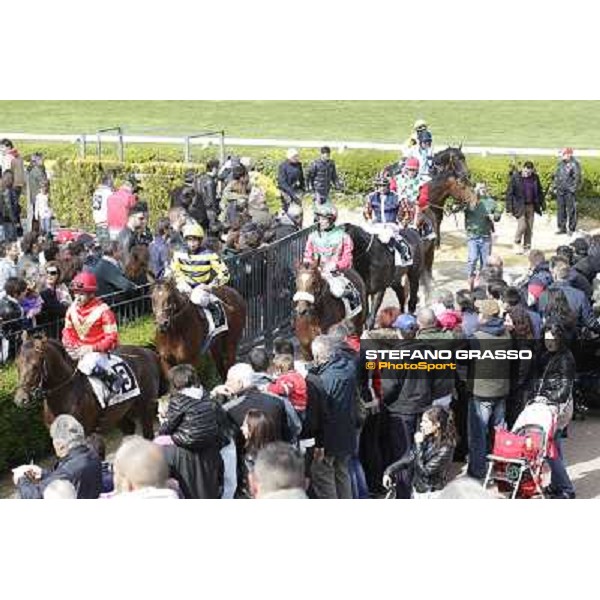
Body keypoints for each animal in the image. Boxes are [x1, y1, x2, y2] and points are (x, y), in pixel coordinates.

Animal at [14, 332, 164, 436]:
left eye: (35, 365)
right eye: (17, 364)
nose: (20, 399)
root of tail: (148, 351)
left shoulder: (86, 433)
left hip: (146, 408)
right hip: (123, 413)